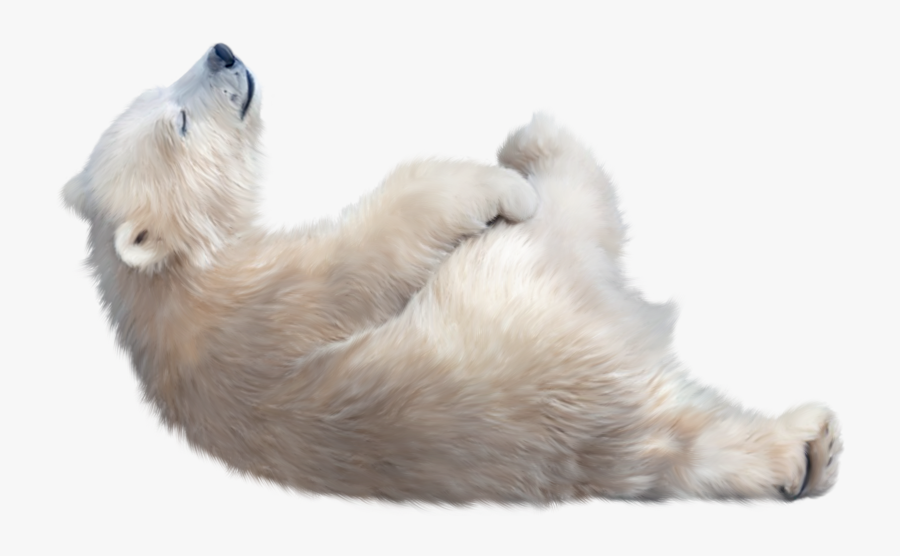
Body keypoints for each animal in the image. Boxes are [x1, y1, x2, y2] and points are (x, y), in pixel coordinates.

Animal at [63, 43, 840, 503]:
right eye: (180, 122)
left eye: (162, 88)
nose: (222, 50)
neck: (168, 286)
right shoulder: (267, 298)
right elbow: (383, 235)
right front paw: (499, 186)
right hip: (534, 274)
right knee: (577, 194)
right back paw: (531, 147)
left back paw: (810, 455)